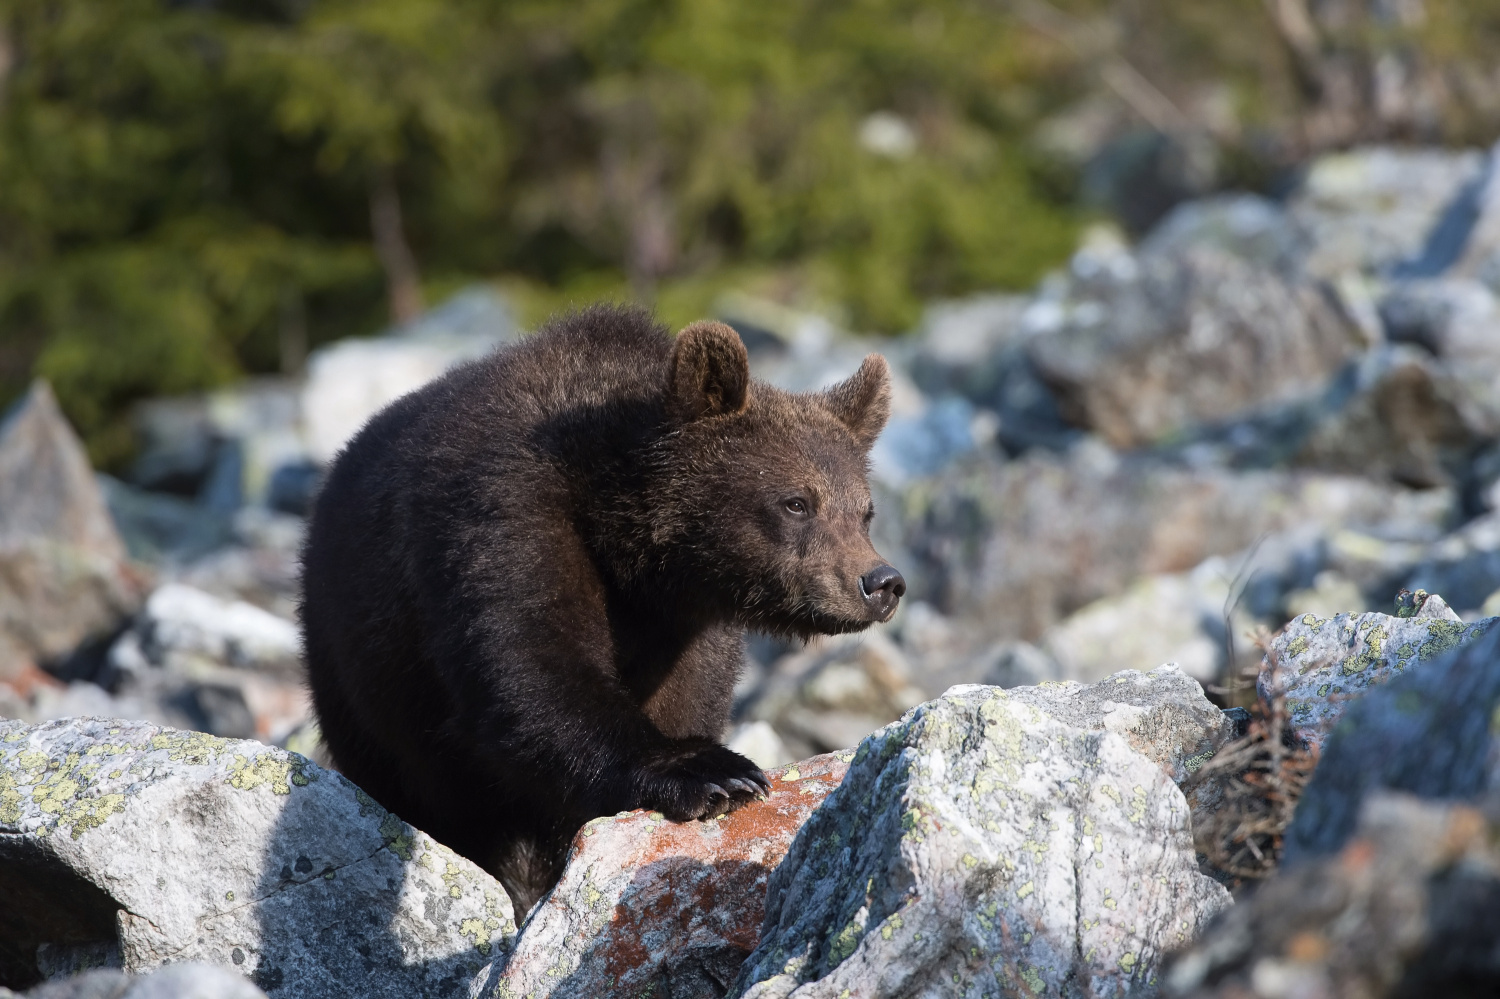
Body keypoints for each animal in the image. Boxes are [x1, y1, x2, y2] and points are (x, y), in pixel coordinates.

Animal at [294, 306, 900, 912]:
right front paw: (715, 773)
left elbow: (684, 693)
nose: (881, 583)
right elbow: (534, 667)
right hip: (364, 685)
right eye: (797, 502)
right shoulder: (508, 513)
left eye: (865, 511)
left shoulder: (686, 619)